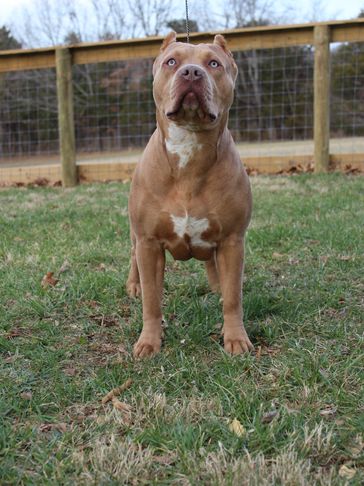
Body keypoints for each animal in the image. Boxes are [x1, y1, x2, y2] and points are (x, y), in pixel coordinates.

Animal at [126, 31, 253, 356]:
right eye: (172, 62)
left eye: (214, 64)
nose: (192, 72)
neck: (189, 148)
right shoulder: (148, 243)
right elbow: (152, 301)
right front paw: (149, 341)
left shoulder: (232, 240)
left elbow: (234, 297)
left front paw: (235, 338)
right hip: (135, 236)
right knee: (132, 257)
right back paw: (133, 285)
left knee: (213, 266)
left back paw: (217, 285)